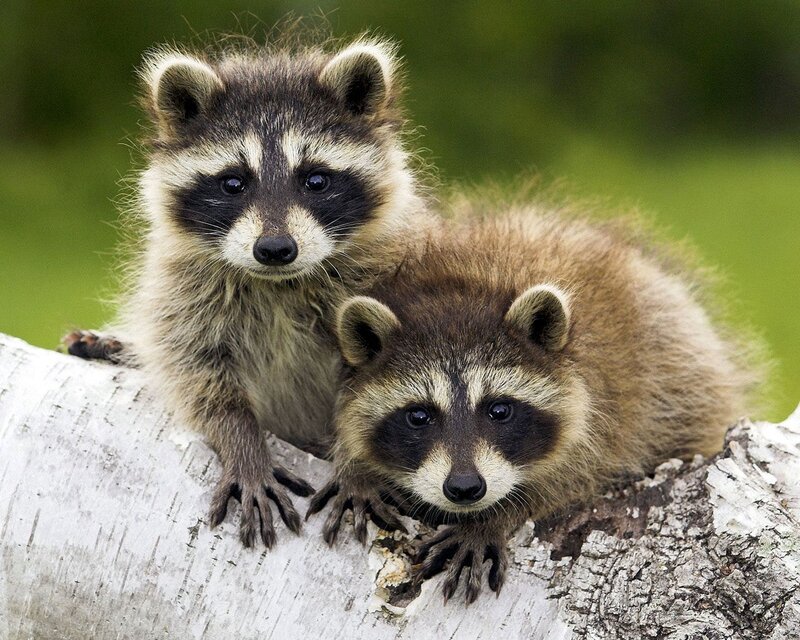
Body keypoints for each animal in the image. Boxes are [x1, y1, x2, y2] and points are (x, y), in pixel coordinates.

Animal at [64, 35, 434, 548]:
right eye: (233, 183)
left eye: (315, 180)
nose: (275, 249)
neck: (278, 284)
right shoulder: (184, 288)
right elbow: (197, 372)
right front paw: (242, 442)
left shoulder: (391, 276)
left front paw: (357, 466)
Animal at [308, 208, 757, 602]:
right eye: (418, 416)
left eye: (499, 410)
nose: (465, 488)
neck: (463, 285)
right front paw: (356, 467)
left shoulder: (609, 406)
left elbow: (576, 474)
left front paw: (494, 517)